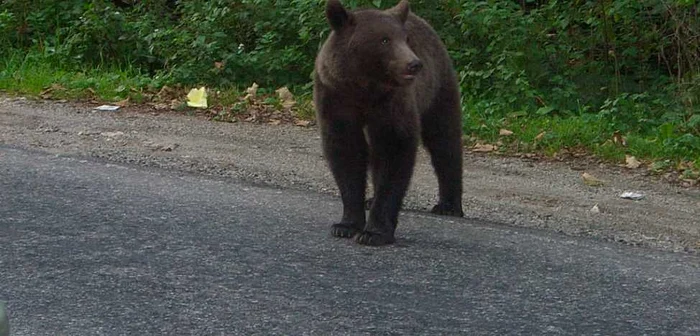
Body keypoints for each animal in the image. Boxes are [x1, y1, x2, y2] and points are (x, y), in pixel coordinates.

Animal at [314, 0, 462, 247]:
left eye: (405, 39)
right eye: (384, 39)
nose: (414, 64)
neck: (364, 89)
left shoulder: (392, 103)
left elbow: (394, 151)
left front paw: (374, 232)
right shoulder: (336, 97)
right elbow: (346, 153)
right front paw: (345, 225)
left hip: (438, 89)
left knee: (444, 141)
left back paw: (449, 205)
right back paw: (370, 199)